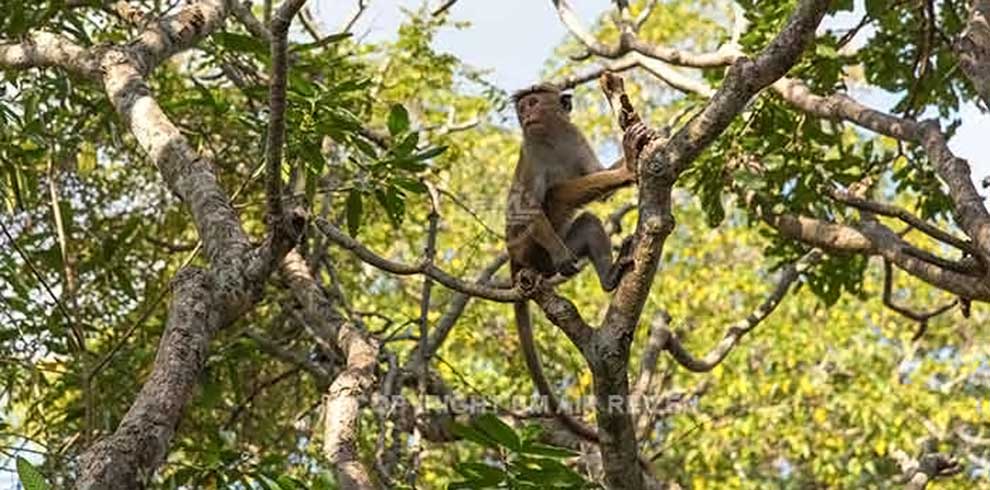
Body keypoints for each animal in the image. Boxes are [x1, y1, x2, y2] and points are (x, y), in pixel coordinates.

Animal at [508, 82, 656, 442]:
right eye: (523, 105)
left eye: (533, 101)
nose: (525, 113)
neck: (551, 136)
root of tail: (515, 264)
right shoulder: (531, 152)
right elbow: (529, 208)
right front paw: (630, 164)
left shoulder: (575, 138)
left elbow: (599, 185)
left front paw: (628, 158)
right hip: (528, 249)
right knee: (554, 195)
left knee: (587, 220)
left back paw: (610, 277)